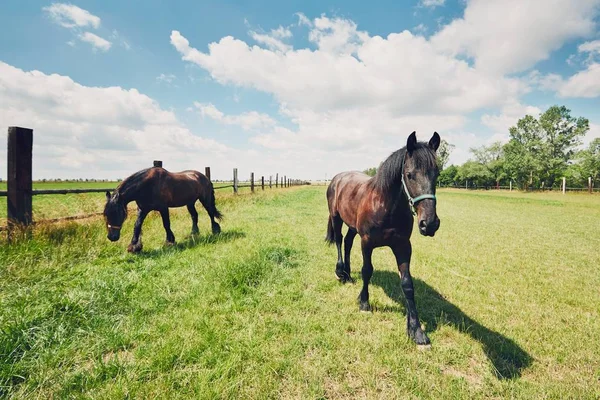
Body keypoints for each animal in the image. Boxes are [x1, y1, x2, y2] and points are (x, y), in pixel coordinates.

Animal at [328, 133, 440, 346]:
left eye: (437, 174)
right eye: (409, 174)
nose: (429, 224)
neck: (384, 205)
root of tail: (337, 178)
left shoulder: (403, 246)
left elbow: (407, 284)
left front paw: (416, 330)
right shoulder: (366, 242)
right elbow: (367, 271)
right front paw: (364, 302)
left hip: (352, 226)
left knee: (347, 243)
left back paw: (348, 274)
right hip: (336, 217)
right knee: (338, 241)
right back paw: (340, 272)